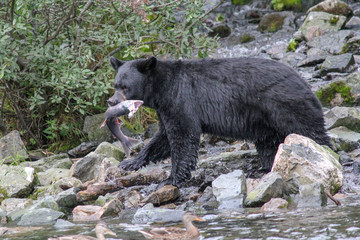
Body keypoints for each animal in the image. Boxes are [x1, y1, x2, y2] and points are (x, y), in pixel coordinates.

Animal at [108, 56, 330, 188]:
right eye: (116, 85)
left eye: (125, 87)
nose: (111, 102)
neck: (163, 88)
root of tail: (303, 81)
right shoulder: (165, 110)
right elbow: (162, 139)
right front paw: (130, 162)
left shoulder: (181, 100)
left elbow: (183, 137)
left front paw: (171, 178)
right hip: (265, 121)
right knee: (269, 143)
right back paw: (266, 167)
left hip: (286, 105)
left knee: (309, 130)